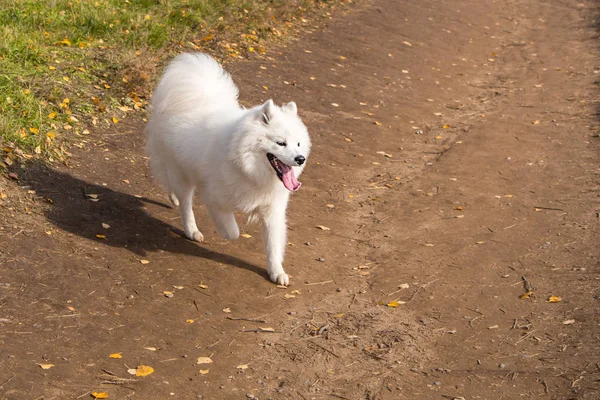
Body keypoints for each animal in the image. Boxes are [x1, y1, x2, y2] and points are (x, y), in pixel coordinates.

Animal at [146, 53, 312, 286]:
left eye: (298, 144)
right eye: (281, 143)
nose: (300, 159)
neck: (247, 167)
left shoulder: (272, 209)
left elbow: (273, 246)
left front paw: (276, 272)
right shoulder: (215, 199)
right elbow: (233, 231)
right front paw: (230, 231)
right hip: (182, 173)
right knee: (185, 203)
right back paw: (191, 228)